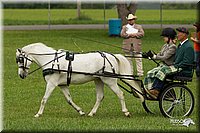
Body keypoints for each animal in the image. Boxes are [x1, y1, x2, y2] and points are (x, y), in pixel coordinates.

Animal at [15, 42, 144, 117]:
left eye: (20, 59)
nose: (21, 75)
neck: (51, 60)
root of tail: (111, 55)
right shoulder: (62, 85)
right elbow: (69, 100)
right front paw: (80, 111)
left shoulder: (51, 83)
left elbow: (44, 99)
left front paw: (38, 113)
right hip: (98, 80)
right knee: (100, 97)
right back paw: (91, 113)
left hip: (109, 81)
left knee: (120, 94)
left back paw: (126, 112)